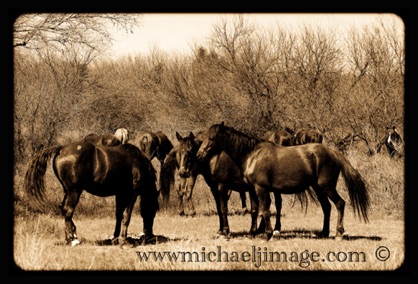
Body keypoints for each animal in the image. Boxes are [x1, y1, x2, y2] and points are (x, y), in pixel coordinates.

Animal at [24, 139, 158, 245]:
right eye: (152, 210)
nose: (150, 236)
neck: (137, 162)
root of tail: (61, 149)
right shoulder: (132, 194)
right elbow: (127, 216)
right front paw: (124, 240)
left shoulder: (120, 194)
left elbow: (119, 215)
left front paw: (115, 237)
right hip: (74, 191)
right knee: (68, 210)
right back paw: (71, 239)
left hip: (67, 191)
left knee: (63, 208)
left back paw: (72, 235)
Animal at [196, 122, 370, 240]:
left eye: (212, 138)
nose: (199, 155)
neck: (253, 154)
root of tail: (334, 153)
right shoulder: (254, 189)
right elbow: (259, 210)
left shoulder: (261, 188)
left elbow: (265, 210)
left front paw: (267, 234)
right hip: (318, 189)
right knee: (326, 208)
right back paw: (324, 233)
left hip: (327, 187)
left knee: (340, 204)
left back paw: (338, 233)